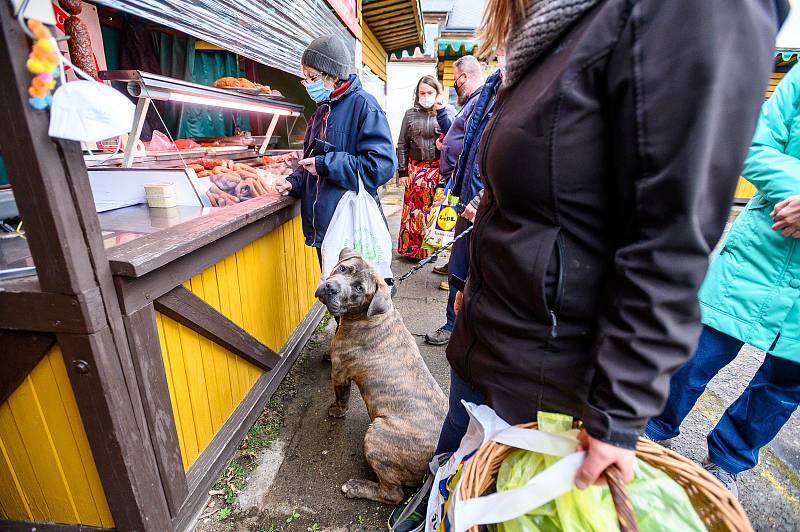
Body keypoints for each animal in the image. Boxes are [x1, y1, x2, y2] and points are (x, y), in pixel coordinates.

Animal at [314, 247, 450, 504]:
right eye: (343, 268)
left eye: (359, 288)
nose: (331, 287)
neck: (367, 317)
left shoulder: (340, 373)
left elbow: (341, 397)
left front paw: (336, 411)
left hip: (377, 435)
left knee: (393, 494)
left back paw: (356, 487)